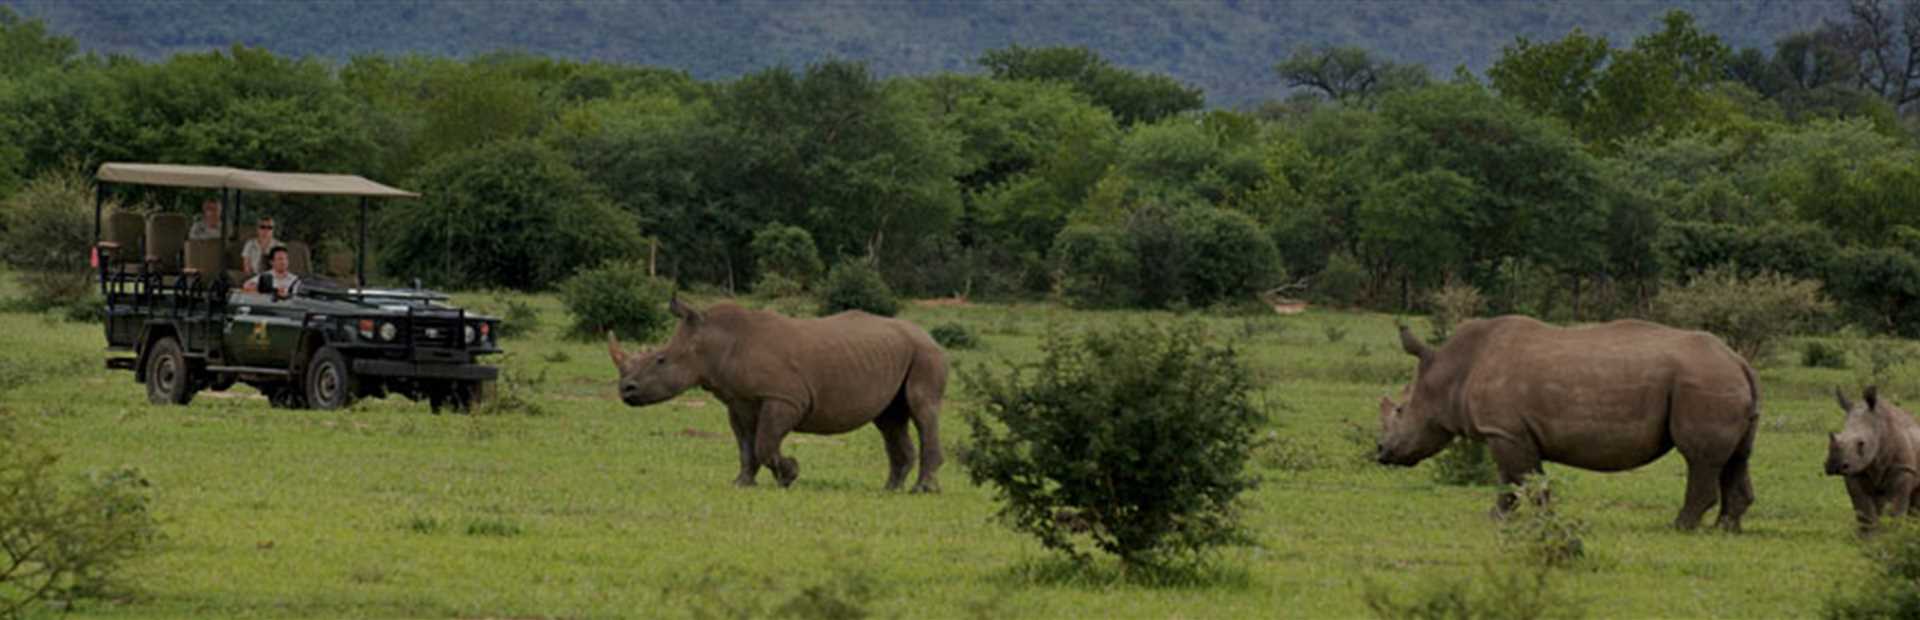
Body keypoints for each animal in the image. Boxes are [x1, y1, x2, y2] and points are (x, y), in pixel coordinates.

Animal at [610, 299, 948, 491]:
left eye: (660, 359)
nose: (625, 390)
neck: (714, 343)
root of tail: (929, 335)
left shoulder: (785, 397)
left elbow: (765, 442)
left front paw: (790, 474)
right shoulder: (738, 401)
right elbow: (746, 445)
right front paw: (742, 483)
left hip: (926, 353)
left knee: (923, 410)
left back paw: (923, 490)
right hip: (898, 355)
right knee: (890, 419)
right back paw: (889, 489)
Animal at [1374, 318, 1758, 533]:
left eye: (1400, 410)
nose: (1381, 452)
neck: (1450, 370)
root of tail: (1739, 360)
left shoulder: (1505, 431)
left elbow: (1527, 481)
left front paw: (1544, 521)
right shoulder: (1506, 432)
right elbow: (1509, 481)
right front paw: (1497, 519)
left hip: (1703, 378)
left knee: (1700, 460)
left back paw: (1679, 528)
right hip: (1719, 378)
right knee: (1737, 458)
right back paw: (1727, 529)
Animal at [1827, 387, 1920, 529]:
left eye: (1861, 443)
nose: (1834, 466)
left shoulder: (1903, 469)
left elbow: (1895, 509)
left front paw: (1895, 532)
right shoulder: (1855, 470)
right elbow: (1865, 512)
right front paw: (1867, 535)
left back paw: (1912, 527)